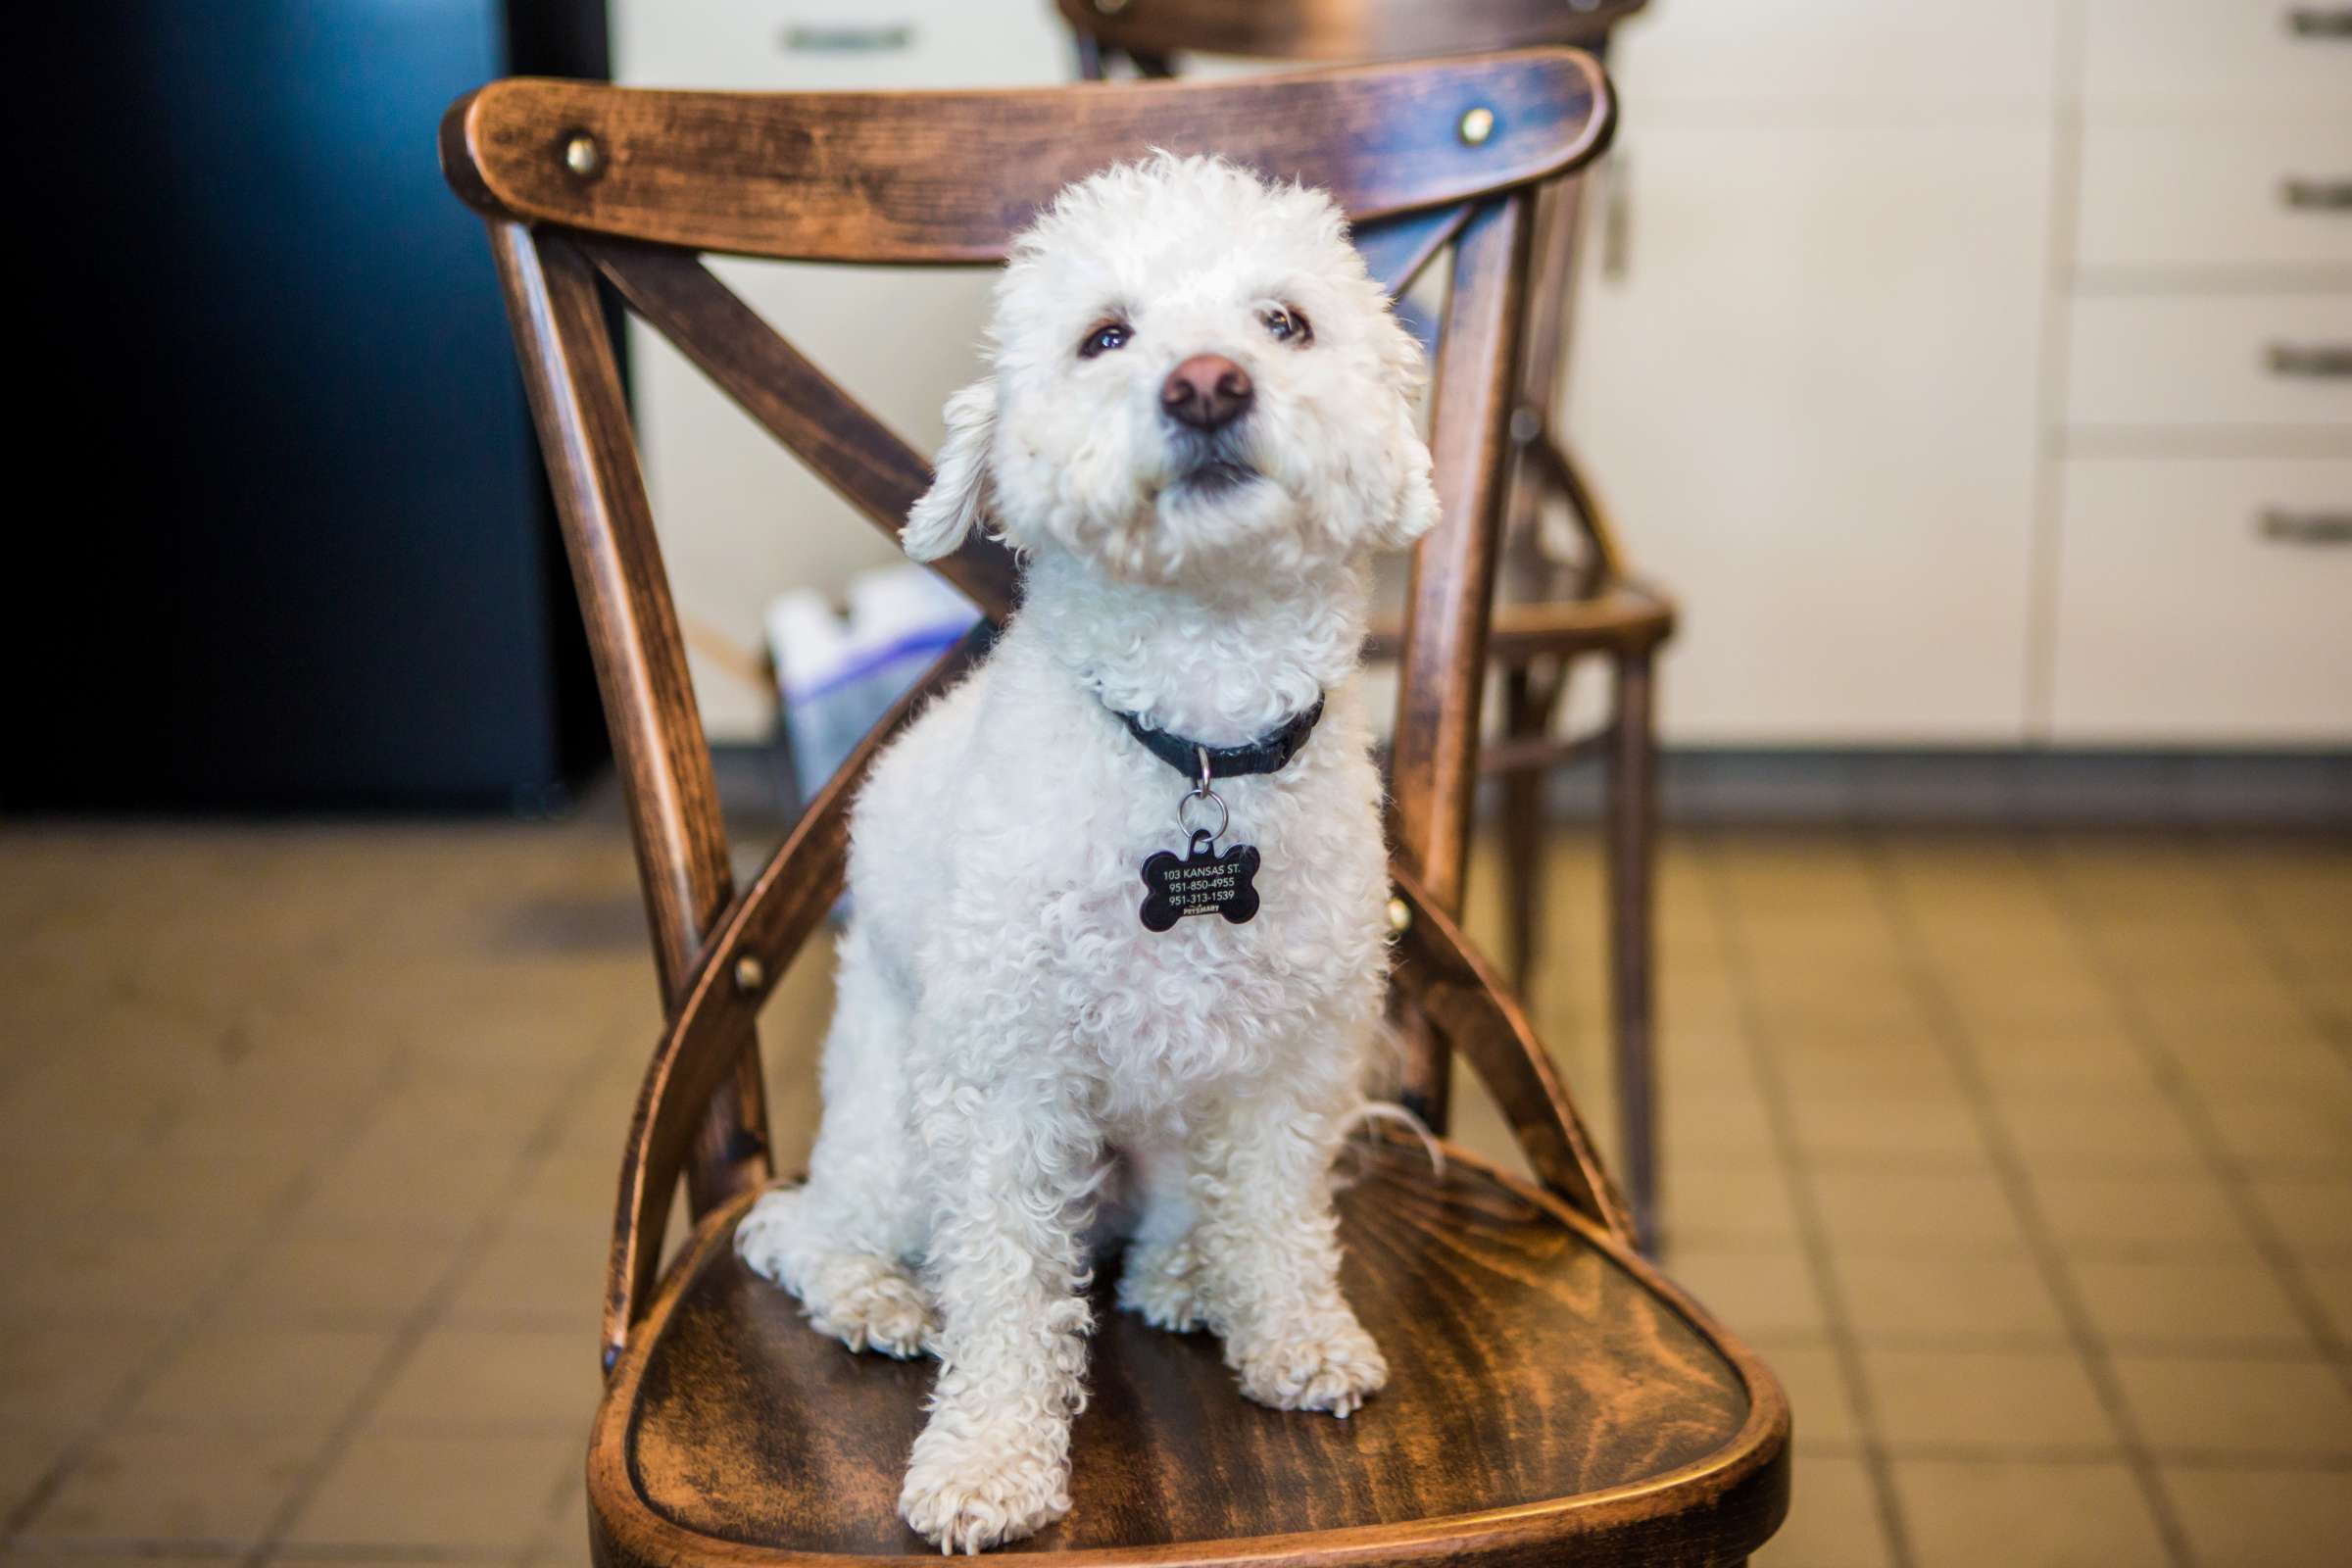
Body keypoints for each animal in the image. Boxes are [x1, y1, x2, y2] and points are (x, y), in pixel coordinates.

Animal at [738, 150, 1430, 1560]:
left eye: (1285, 321)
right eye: (1104, 335)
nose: (1207, 381)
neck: (1198, 737)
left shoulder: (1291, 1064)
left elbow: (1280, 1215)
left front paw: (1295, 1337)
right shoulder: (1006, 1090)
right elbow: (1009, 1297)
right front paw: (989, 1463)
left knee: (1179, 1211)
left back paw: (1184, 1272)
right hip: (898, 1138)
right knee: (798, 1229)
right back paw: (876, 1297)